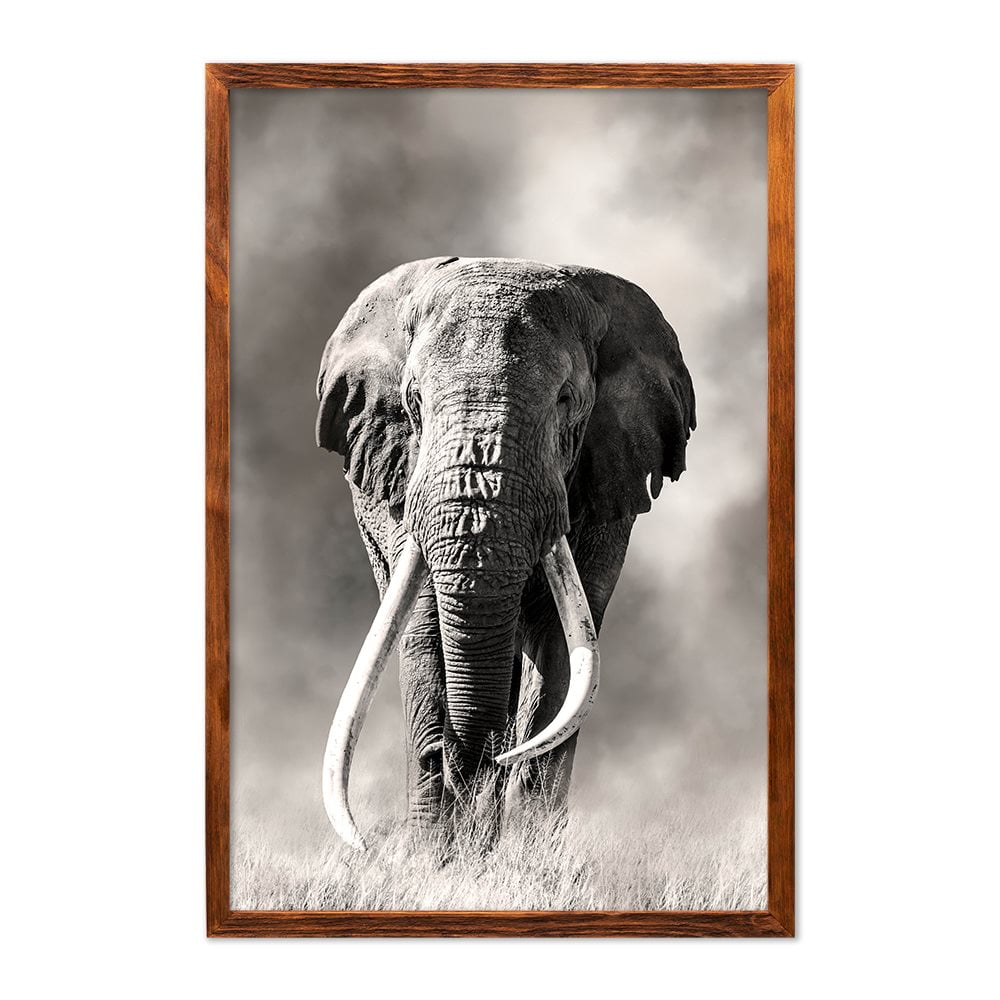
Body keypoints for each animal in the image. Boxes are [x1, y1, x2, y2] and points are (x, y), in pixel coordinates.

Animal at [316, 256, 695, 850]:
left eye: (566, 401)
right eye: (414, 403)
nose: (464, 760)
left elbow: (564, 645)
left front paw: (526, 851)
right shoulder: (402, 479)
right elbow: (423, 627)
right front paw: (433, 853)